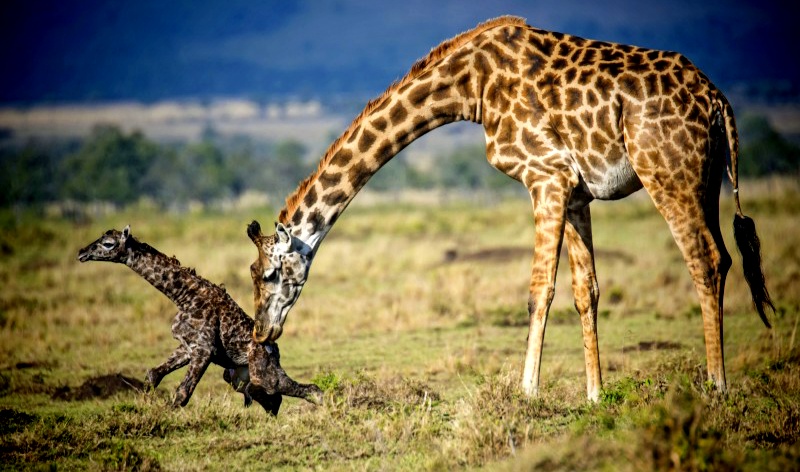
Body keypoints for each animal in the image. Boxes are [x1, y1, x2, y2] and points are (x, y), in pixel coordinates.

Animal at [76, 227, 322, 414]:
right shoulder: (188, 346)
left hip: (263, 375)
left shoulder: (204, 349)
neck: (182, 296)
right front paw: (143, 408)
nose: (81, 252)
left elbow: (182, 392)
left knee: (308, 390)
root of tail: (274, 349)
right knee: (269, 397)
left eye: (108, 243)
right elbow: (153, 374)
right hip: (236, 376)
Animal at [250, 16, 776, 400]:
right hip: (705, 181)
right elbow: (586, 290)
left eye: (268, 274)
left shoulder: (546, 175)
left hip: (667, 174)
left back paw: (717, 385)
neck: (470, 88)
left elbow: (538, 289)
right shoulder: (576, 190)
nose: (262, 333)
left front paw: (527, 391)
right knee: (723, 256)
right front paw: (595, 395)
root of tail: (717, 100)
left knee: (705, 260)